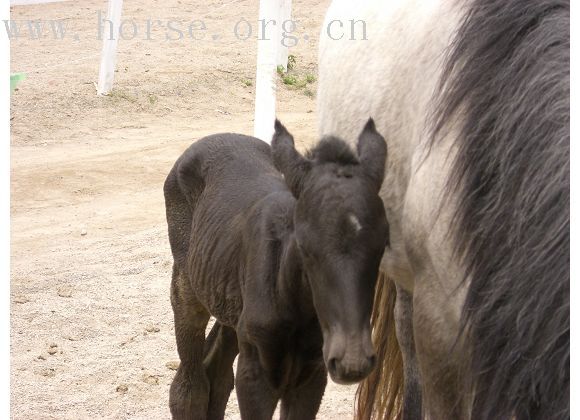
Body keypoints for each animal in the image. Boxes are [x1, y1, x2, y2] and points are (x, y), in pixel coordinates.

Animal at [163, 118, 390, 420]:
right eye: (304, 246)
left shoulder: (314, 370)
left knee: (217, 373)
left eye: (384, 244)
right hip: (187, 283)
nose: (352, 360)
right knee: (189, 387)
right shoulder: (255, 372)